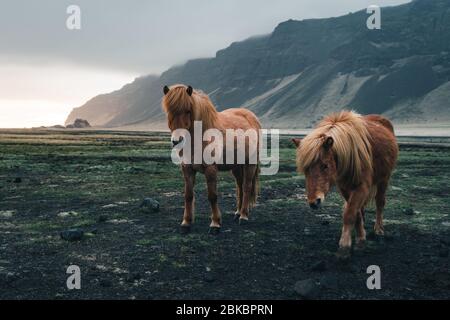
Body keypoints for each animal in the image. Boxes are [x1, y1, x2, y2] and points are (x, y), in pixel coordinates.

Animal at [162, 84, 260, 234]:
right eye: (169, 111)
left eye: (188, 110)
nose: (177, 141)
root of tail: (252, 117)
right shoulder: (187, 169)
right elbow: (188, 195)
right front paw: (186, 222)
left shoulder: (211, 169)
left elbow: (212, 196)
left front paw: (215, 223)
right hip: (236, 166)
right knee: (239, 186)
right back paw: (237, 213)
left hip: (250, 164)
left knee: (247, 186)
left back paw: (243, 216)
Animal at [292, 111, 398, 258]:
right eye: (305, 169)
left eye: (325, 165)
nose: (314, 202)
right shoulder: (345, 188)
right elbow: (355, 212)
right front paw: (361, 238)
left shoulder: (362, 186)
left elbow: (350, 213)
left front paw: (344, 247)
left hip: (384, 179)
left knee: (380, 202)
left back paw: (378, 229)